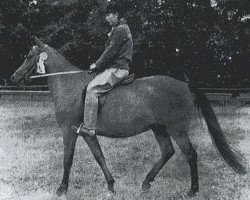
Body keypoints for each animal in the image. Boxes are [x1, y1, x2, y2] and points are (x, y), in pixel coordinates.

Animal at [10, 38, 246, 198]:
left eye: (28, 56)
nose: (13, 77)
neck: (69, 86)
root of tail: (185, 85)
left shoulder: (69, 132)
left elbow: (67, 160)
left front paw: (61, 189)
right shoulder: (87, 133)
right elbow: (100, 157)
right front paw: (111, 186)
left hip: (177, 129)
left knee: (190, 155)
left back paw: (192, 190)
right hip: (159, 128)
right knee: (167, 151)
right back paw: (146, 183)